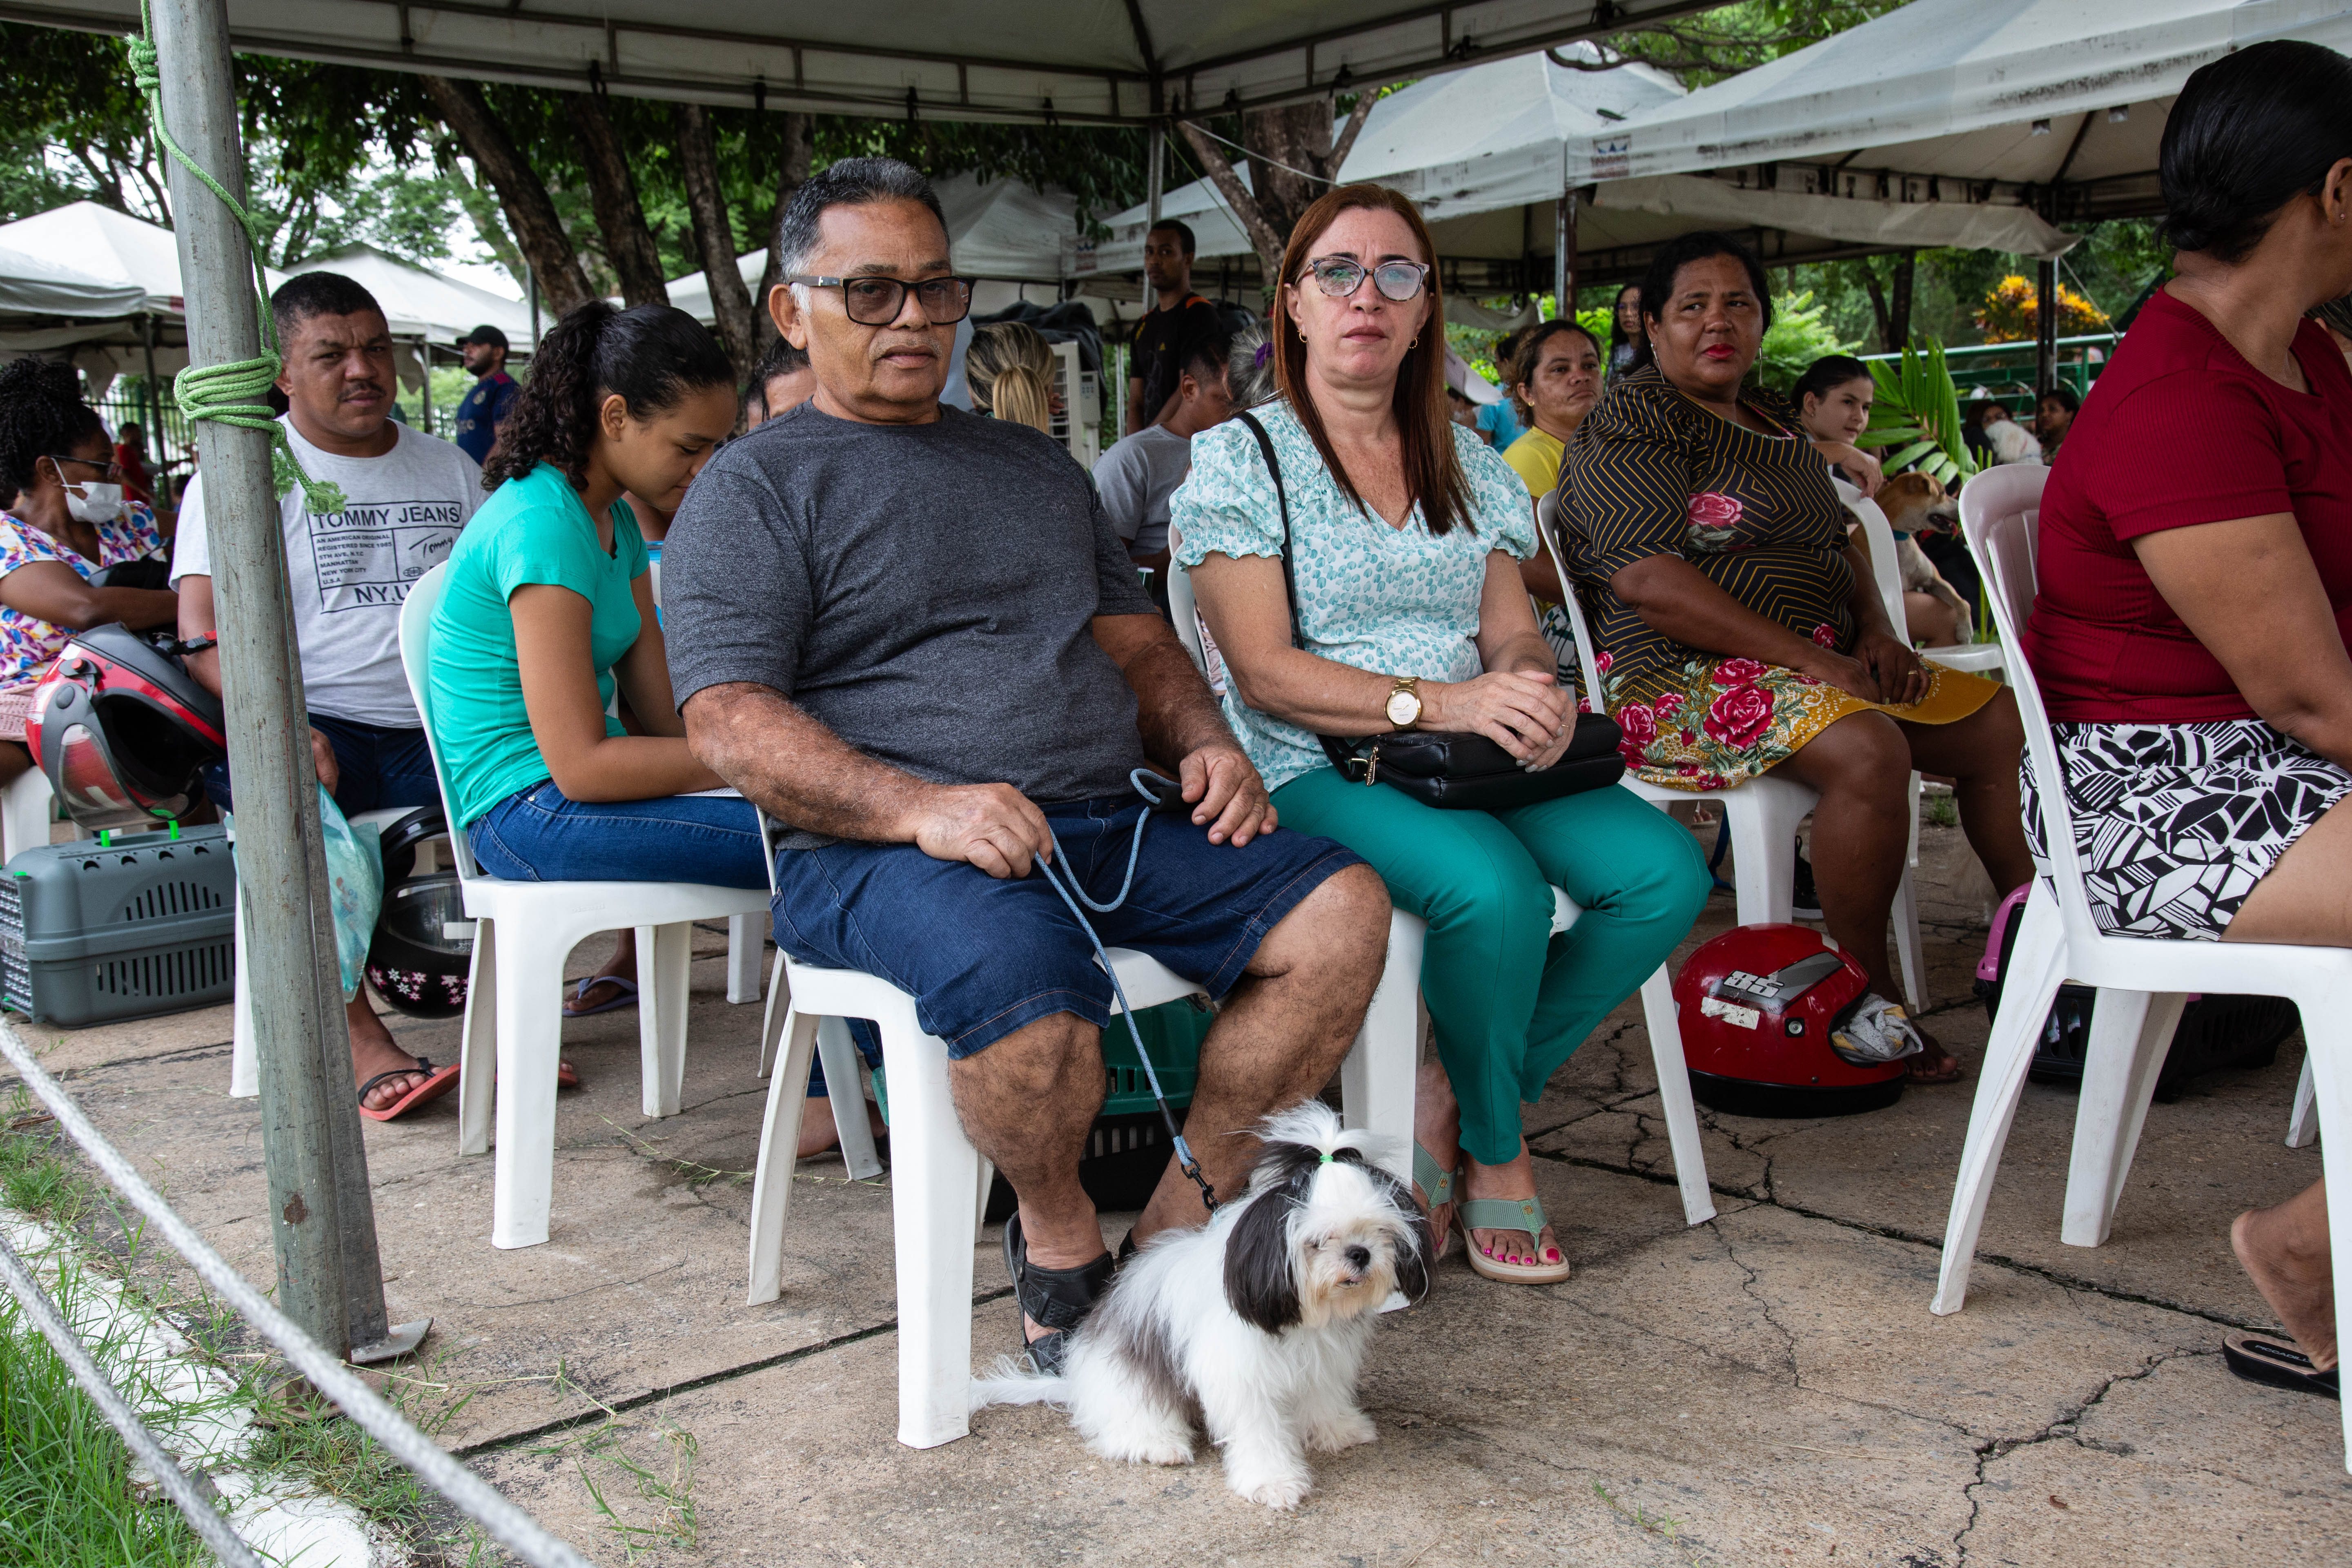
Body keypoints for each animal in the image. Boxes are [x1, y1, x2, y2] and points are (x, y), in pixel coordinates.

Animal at [973, 1100, 1430, 1514]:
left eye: (1379, 1231)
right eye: (1319, 1241)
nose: (1360, 1254)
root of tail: (1077, 1380)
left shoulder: (1320, 1359)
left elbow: (1322, 1397)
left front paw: (1337, 1429)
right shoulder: (1240, 1373)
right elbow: (1258, 1430)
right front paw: (1273, 1481)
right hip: (1127, 1378)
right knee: (1126, 1420)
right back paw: (1157, 1444)